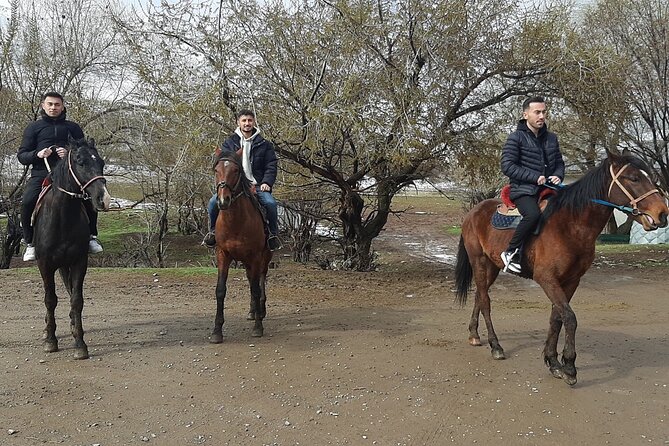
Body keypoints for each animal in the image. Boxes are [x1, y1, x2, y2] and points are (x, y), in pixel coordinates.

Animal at [32, 137, 110, 360]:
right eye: (81, 162)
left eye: (101, 162)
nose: (103, 199)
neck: (62, 216)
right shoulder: (45, 264)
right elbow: (50, 300)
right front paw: (51, 340)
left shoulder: (78, 261)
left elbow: (76, 299)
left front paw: (80, 343)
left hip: (64, 263)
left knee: (69, 289)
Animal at [209, 149, 273, 343]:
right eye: (216, 170)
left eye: (236, 170)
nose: (223, 200)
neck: (236, 221)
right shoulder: (223, 254)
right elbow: (220, 290)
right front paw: (217, 331)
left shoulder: (255, 256)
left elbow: (256, 289)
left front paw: (258, 327)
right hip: (246, 261)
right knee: (251, 279)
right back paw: (253, 311)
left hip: (264, 258)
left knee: (260, 280)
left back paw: (260, 311)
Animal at [454, 150, 668, 385]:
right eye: (633, 178)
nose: (662, 213)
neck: (569, 226)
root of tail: (473, 212)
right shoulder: (547, 279)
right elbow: (570, 318)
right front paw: (569, 366)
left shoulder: (571, 280)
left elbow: (556, 318)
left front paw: (553, 361)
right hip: (479, 262)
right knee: (485, 301)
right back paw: (496, 346)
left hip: (492, 267)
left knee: (479, 296)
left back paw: (474, 335)